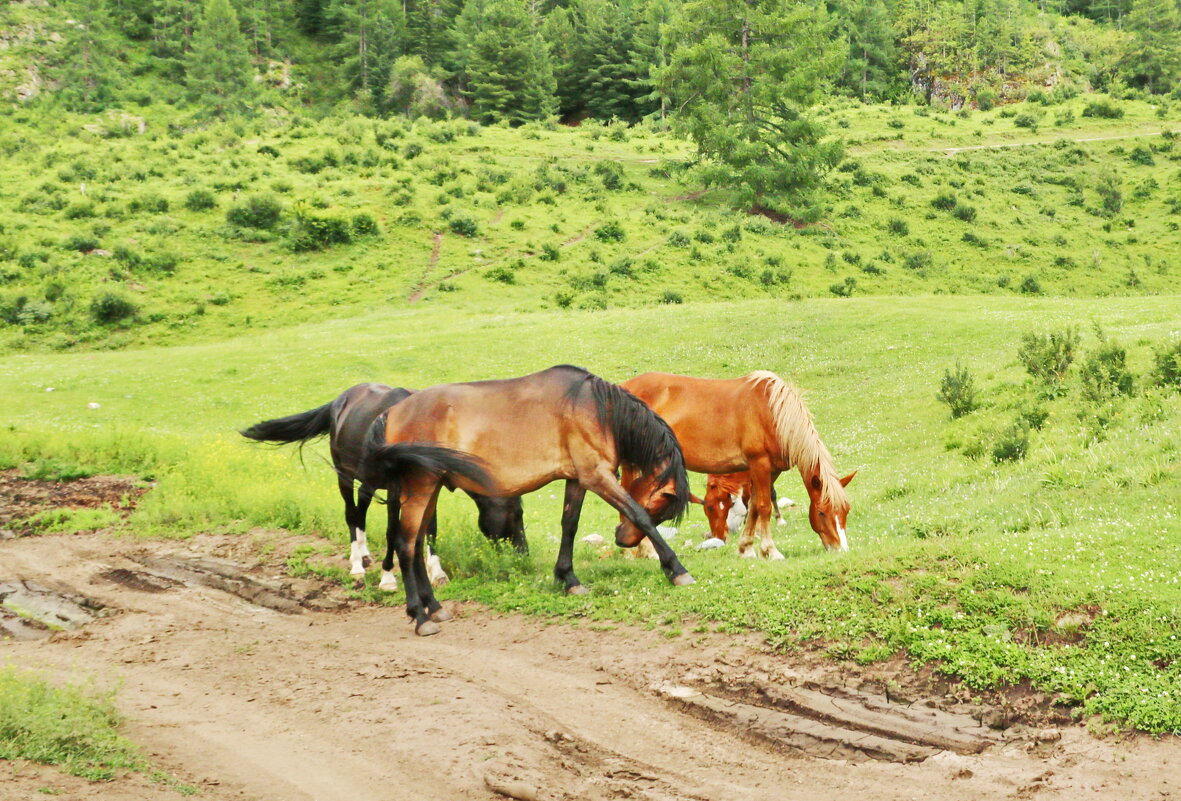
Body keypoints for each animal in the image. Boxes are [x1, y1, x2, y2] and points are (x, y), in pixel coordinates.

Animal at [239, 380, 526, 593]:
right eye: (517, 514)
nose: (524, 553)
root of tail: (340, 400)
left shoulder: (425, 487)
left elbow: (429, 528)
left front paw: (436, 572)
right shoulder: (395, 490)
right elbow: (391, 531)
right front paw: (388, 578)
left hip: (369, 483)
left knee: (361, 510)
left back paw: (365, 554)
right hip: (345, 477)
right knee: (351, 513)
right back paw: (357, 565)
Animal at [356, 366, 689, 637]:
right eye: (660, 507)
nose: (623, 541)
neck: (595, 409)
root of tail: (393, 412)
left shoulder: (577, 480)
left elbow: (569, 525)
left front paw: (568, 578)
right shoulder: (597, 476)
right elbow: (636, 513)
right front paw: (676, 569)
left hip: (431, 487)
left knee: (416, 544)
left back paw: (434, 607)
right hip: (421, 486)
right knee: (405, 544)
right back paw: (420, 616)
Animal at [618, 375, 859, 557]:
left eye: (845, 510)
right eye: (821, 513)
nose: (840, 549)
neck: (773, 413)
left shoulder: (768, 470)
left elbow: (753, 506)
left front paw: (746, 548)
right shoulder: (759, 463)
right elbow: (764, 506)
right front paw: (771, 551)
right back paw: (641, 552)